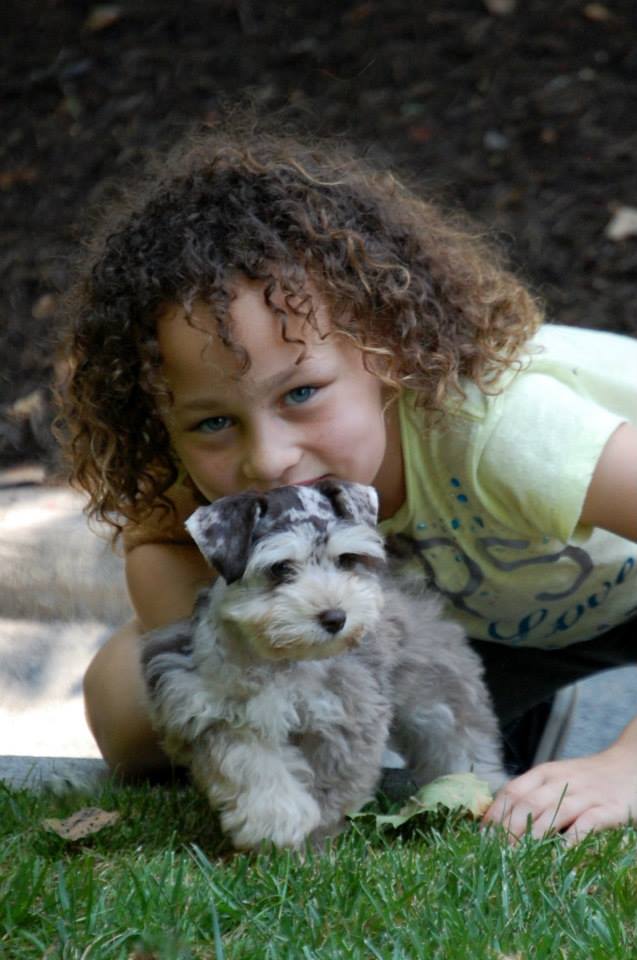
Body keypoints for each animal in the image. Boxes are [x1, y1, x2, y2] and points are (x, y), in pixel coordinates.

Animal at [142, 480, 504, 848]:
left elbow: (329, 789)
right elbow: (248, 765)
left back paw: (480, 790)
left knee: (463, 742)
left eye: (346, 559)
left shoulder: (343, 717)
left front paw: (315, 841)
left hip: (438, 698)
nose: (335, 617)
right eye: (280, 567)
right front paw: (274, 820)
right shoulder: (206, 712)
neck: (277, 658)